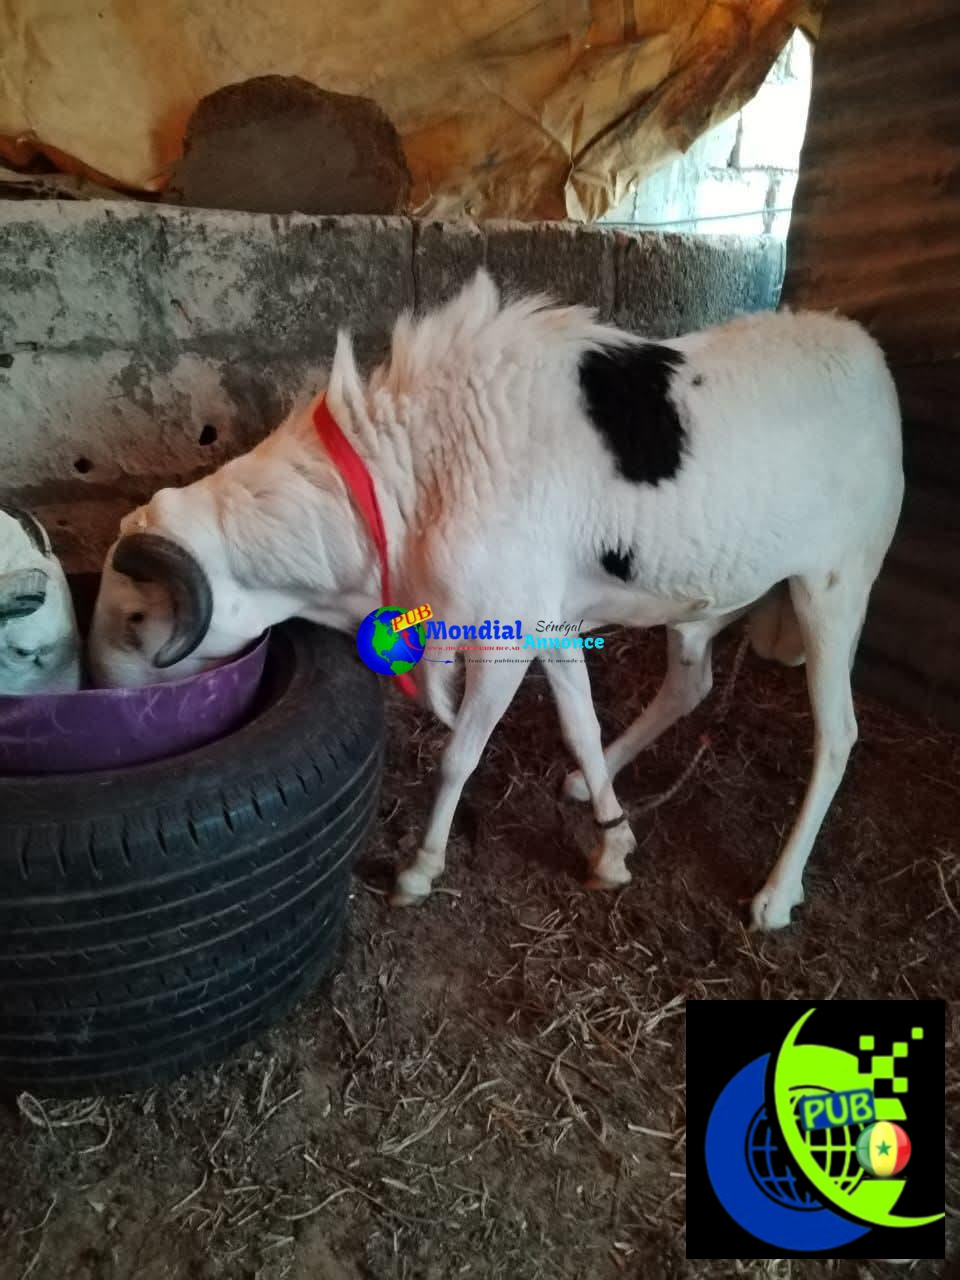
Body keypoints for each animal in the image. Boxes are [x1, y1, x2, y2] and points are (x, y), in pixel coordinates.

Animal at [89, 271, 903, 929]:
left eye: (137, 620)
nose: (103, 703)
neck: (406, 475)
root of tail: (865, 350)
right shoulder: (548, 619)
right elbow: (579, 723)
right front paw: (612, 842)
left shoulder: (504, 637)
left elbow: (459, 756)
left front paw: (420, 871)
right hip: (709, 596)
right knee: (691, 682)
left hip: (836, 584)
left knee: (838, 734)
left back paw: (776, 893)